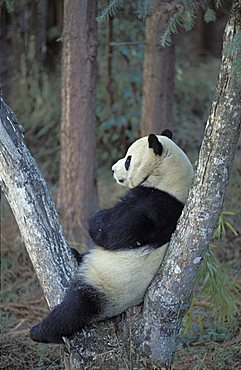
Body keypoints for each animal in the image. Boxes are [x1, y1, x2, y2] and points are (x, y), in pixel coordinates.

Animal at [29, 130, 194, 344]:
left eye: (128, 160)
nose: (113, 169)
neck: (171, 181)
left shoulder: (155, 205)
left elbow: (112, 231)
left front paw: (96, 220)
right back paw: (75, 255)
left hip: (106, 290)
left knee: (75, 310)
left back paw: (41, 332)